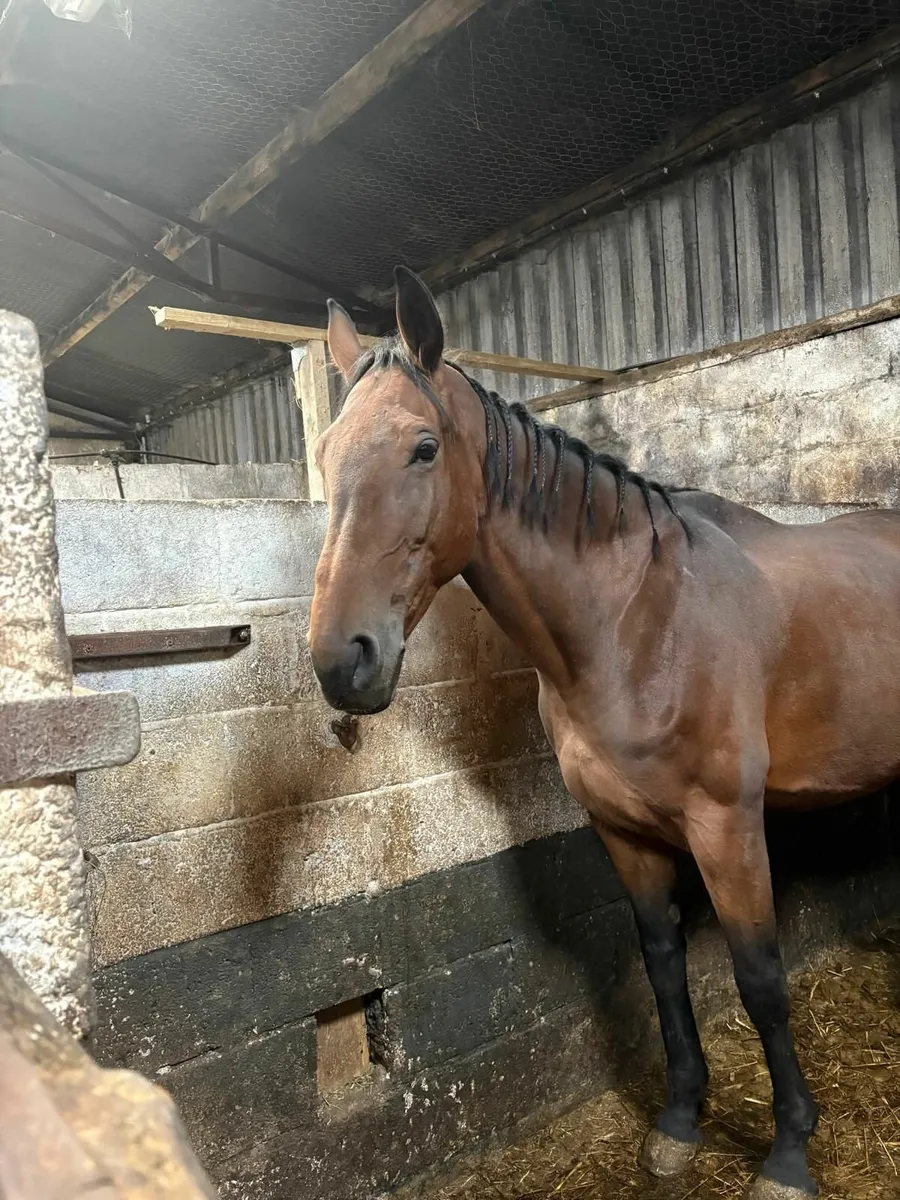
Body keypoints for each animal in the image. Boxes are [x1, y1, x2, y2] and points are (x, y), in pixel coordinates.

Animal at [307, 265, 900, 1200]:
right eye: (326, 454)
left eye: (423, 448)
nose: (341, 660)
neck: (634, 625)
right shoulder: (623, 832)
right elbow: (661, 968)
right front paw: (679, 1124)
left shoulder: (729, 829)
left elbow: (761, 980)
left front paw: (788, 1155)